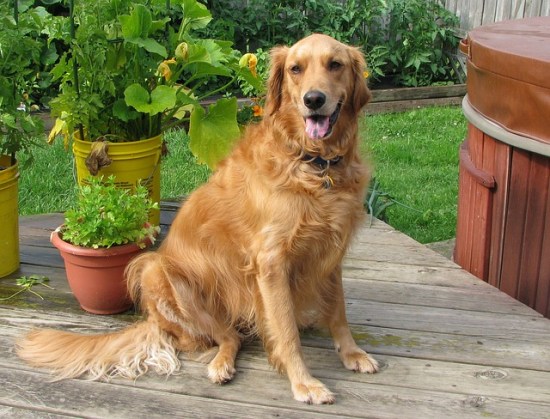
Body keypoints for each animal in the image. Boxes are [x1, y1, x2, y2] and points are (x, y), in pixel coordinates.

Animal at [16, 34, 380, 406]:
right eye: (296, 69)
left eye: (335, 64)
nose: (313, 99)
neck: (313, 164)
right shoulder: (270, 262)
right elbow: (286, 331)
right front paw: (304, 382)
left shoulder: (331, 251)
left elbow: (338, 311)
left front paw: (352, 353)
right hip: (157, 271)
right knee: (227, 337)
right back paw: (221, 365)